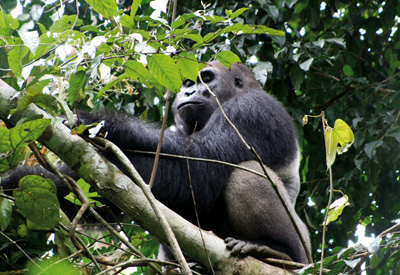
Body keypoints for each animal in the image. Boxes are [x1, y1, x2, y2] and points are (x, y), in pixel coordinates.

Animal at [1, 61, 310, 266]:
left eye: (206, 79)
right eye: (188, 83)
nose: (188, 93)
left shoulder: (253, 110)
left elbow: (200, 166)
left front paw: (107, 124)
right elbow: (96, 197)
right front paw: (12, 184)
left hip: (304, 256)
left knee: (246, 175)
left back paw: (275, 249)